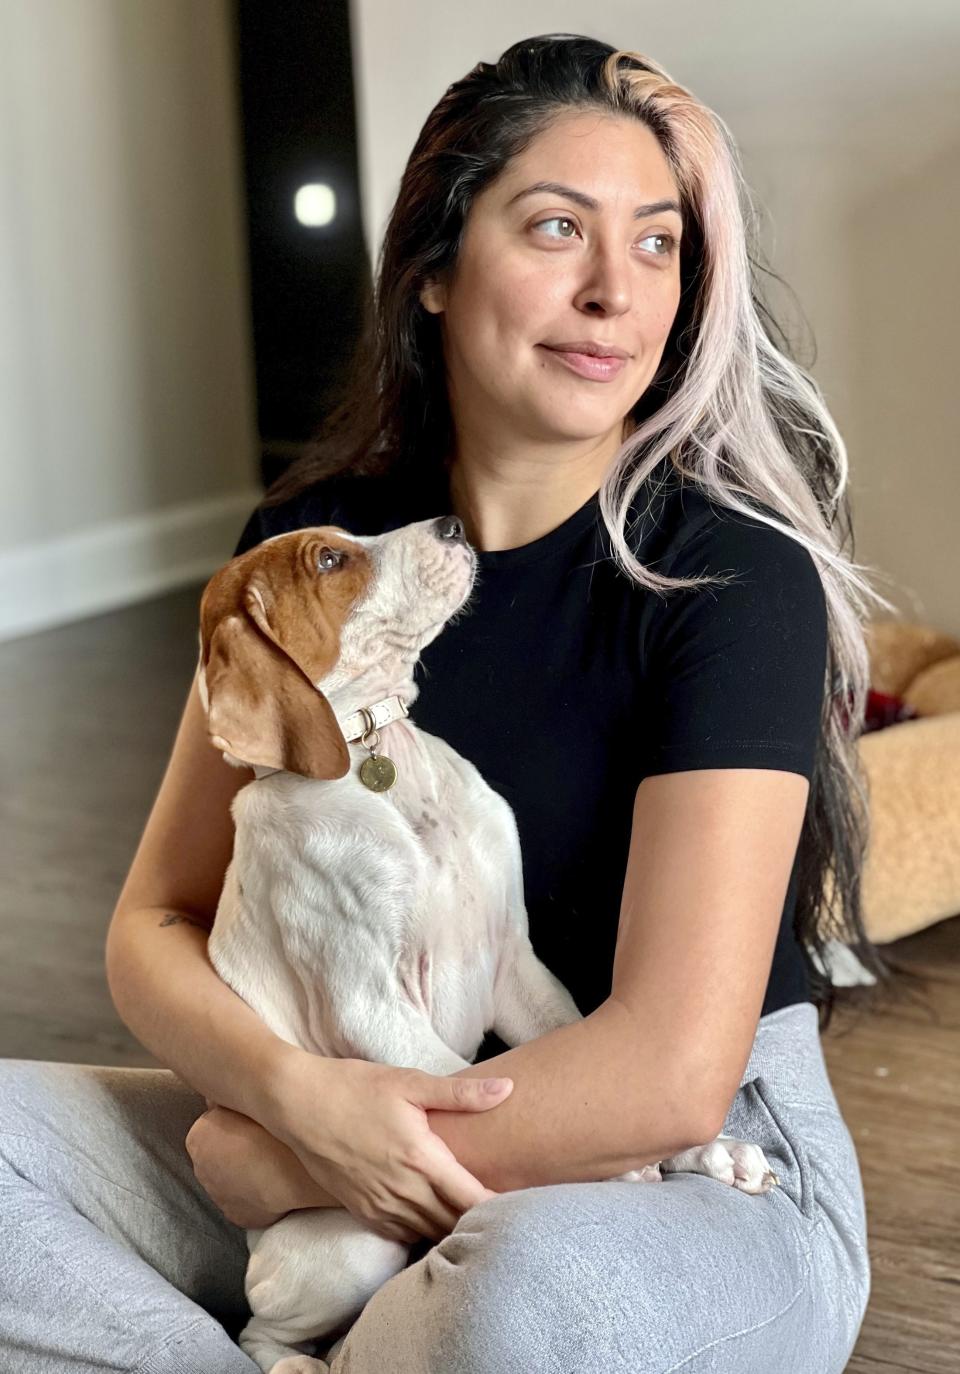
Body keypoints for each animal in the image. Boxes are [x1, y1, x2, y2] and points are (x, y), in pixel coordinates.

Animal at [195, 513, 780, 1374]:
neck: (381, 763)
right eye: (330, 559)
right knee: (256, 1332)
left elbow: (598, 1080)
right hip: (352, 1247)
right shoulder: (370, 1006)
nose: (451, 524)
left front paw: (706, 1151)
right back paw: (300, 1362)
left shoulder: (515, 966)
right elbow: (455, 1078)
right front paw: (631, 1164)